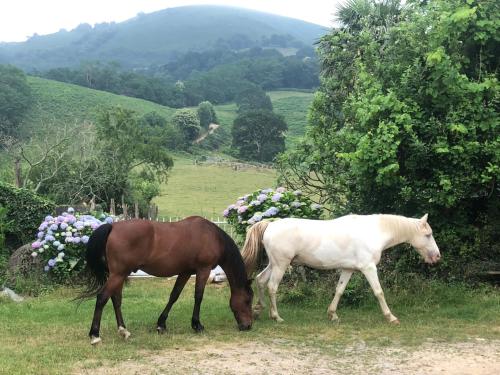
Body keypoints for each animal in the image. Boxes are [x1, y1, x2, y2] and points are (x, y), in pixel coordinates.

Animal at [79, 216, 254, 346]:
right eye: (247, 300)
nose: (248, 326)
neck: (212, 236)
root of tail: (113, 226)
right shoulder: (203, 270)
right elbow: (198, 296)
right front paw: (197, 325)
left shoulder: (185, 272)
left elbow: (174, 295)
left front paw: (161, 324)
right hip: (118, 274)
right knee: (102, 298)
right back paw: (95, 335)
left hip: (120, 275)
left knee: (116, 299)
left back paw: (124, 331)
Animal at [242, 216, 442, 324]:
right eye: (428, 235)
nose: (437, 256)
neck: (374, 231)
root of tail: (270, 224)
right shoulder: (369, 268)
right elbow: (379, 292)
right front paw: (391, 317)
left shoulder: (348, 269)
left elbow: (339, 290)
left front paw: (332, 315)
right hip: (281, 265)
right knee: (272, 287)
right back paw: (276, 317)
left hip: (274, 264)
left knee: (260, 280)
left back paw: (258, 310)